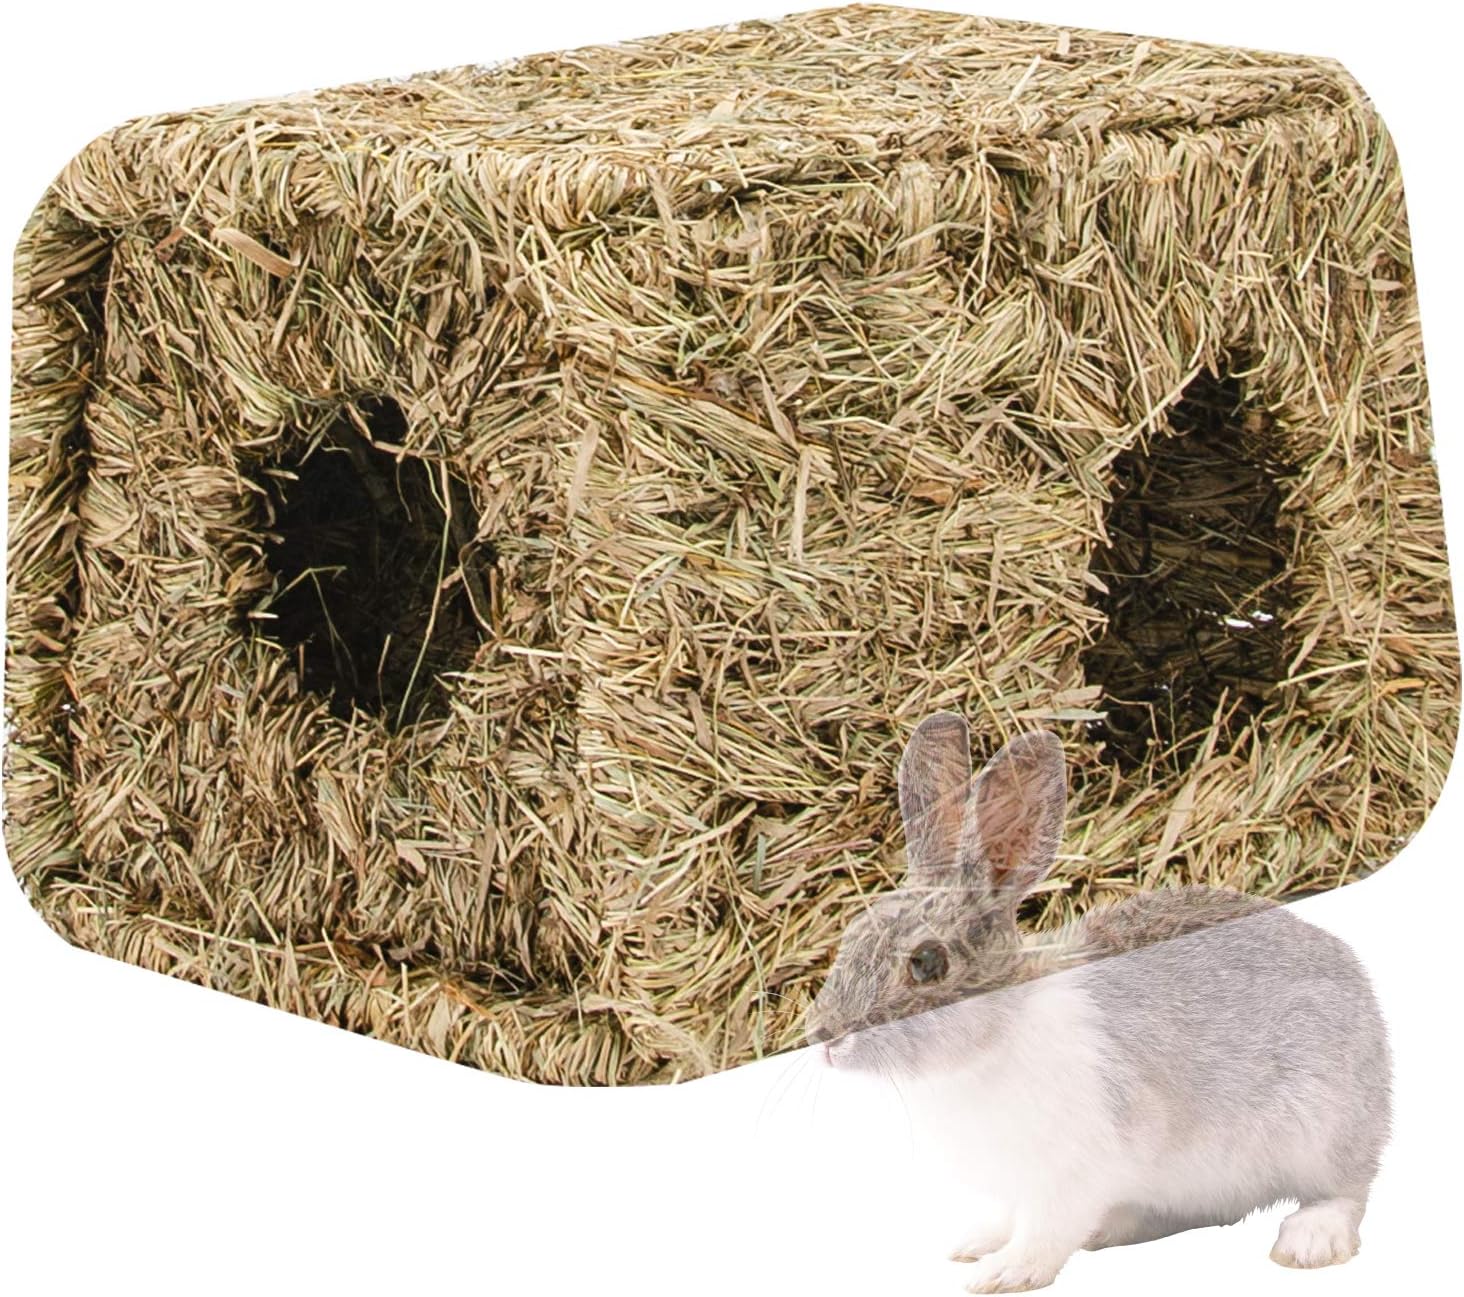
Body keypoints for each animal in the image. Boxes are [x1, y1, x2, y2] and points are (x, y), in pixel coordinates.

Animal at [804, 712, 1391, 1293]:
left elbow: (1045, 1231)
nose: (823, 1037)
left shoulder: (1073, 1171)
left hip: (1322, 1129)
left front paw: (1002, 1274)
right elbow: (1008, 1217)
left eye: (927, 962)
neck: (991, 1039)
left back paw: (1309, 1242)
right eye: (851, 935)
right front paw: (973, 1245)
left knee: (1346, 1192)